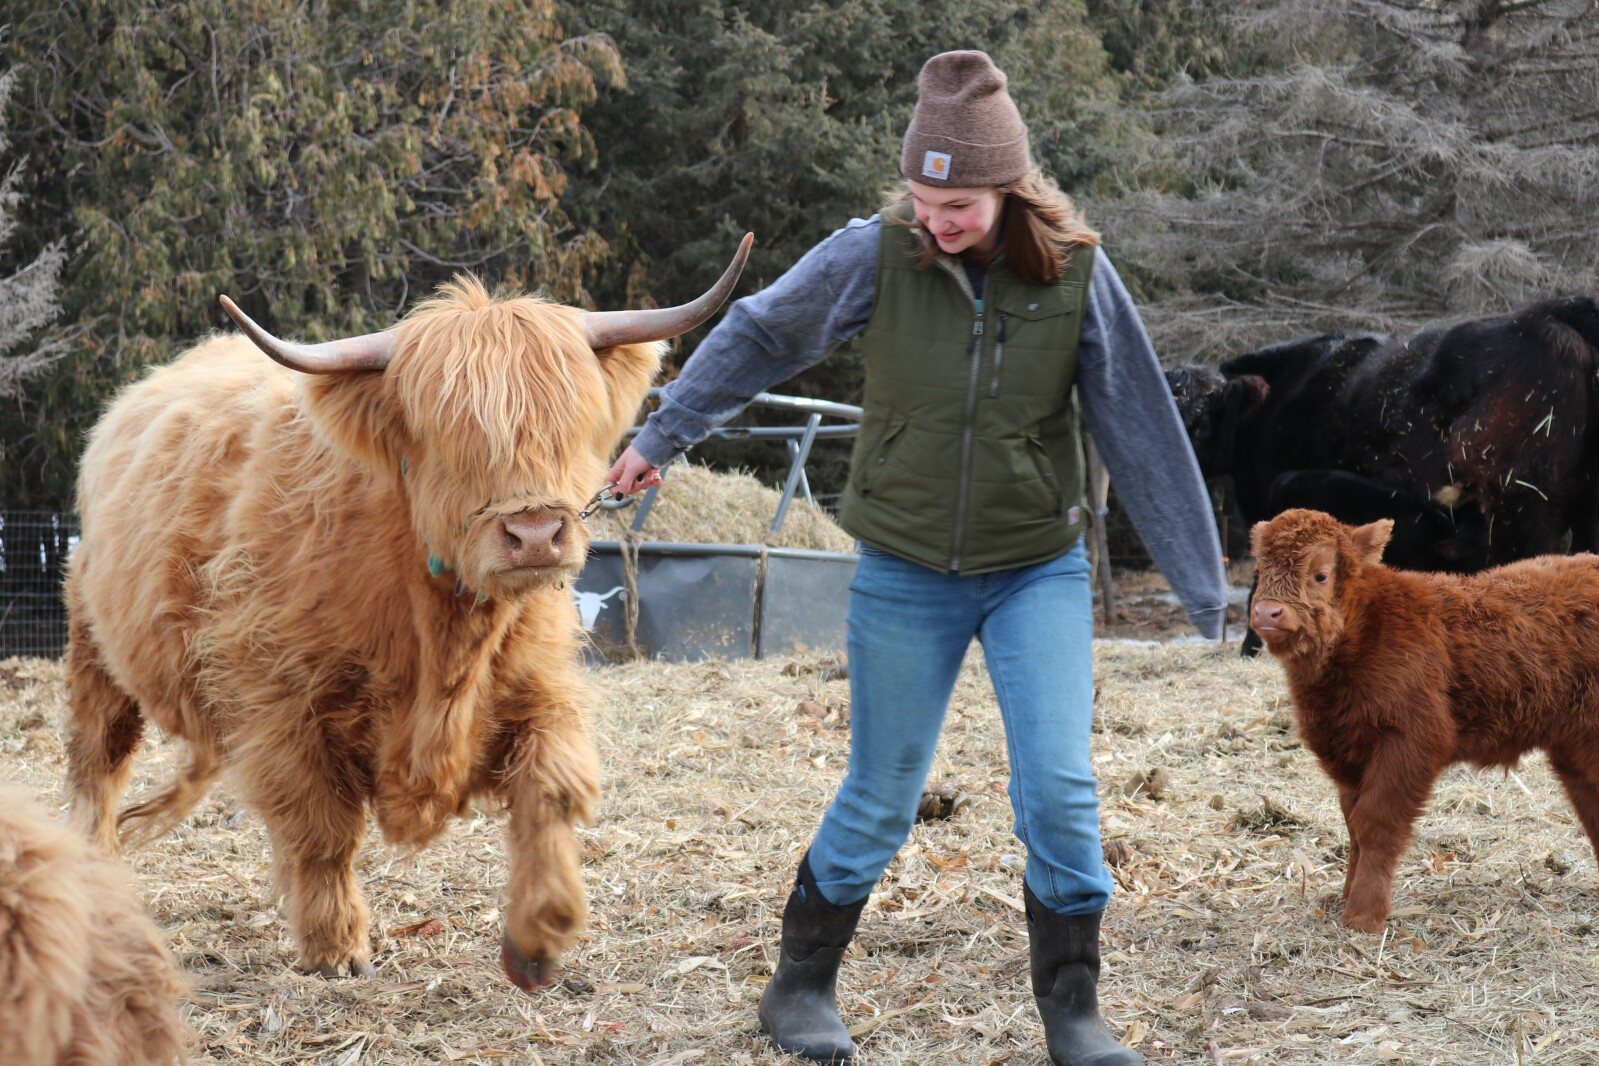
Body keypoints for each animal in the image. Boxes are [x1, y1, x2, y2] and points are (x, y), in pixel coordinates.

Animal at [65, 234, 751, 990]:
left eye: (570, 425)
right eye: (449, 435)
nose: (536, 533)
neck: (441, 634)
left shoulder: (537, 687)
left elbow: (552, 787)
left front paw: (540, 934)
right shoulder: (284, 710)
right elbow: (321, 830)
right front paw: (337, 946)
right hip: (94, 656)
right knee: (97, 769)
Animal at [1247, 508, 1599, 933]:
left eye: (1320, 574)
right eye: (1259, 569)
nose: (1267, 612)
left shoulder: (1410, 742)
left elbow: (1375, 822)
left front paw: (1363, 914)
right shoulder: (1348, 754)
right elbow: (1353, 825)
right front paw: (1346, 896)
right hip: (1573, 750)